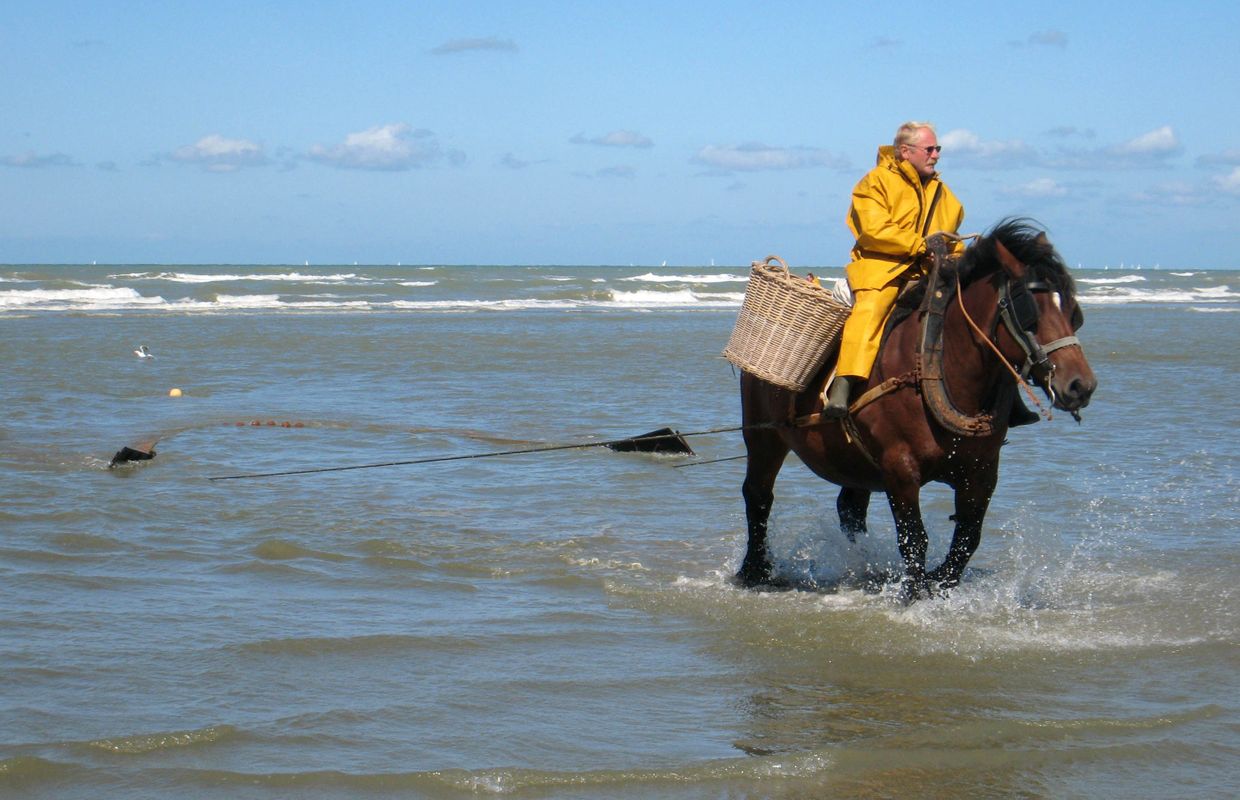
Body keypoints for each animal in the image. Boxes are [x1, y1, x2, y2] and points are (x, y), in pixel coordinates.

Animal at [734, 218, 1096, 600]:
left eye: (1073, 312)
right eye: (1030, 311)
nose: (1080, 385)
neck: (935, 367)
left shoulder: (982, 472)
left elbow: (967, 540)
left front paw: (938, 583)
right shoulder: (900, 469)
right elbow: (914, 540)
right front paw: (914, 593)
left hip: (853, 460)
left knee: (850, 509)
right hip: (764, 438)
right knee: (758, 495)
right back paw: (755, 570)